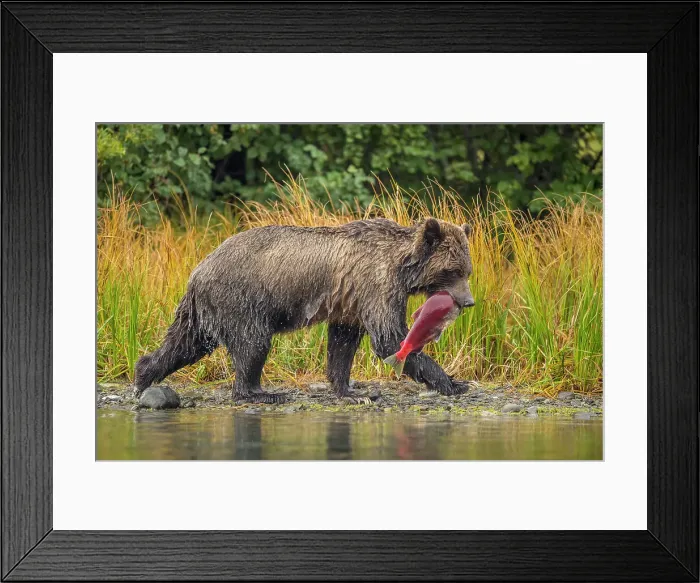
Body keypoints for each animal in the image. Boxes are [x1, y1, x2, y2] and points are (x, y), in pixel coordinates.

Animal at [133, 217, 475, 403]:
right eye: (454, 270)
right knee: (253, 344)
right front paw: (453, 382)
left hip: (204, 309)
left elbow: (342, 344)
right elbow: (389, 337)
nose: (469, 301)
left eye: (468, 271)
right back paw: (260, 392)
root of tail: (197, 270)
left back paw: (142, 376)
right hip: (242, 299)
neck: (401, 267)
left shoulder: (348, 302)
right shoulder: (376, 284)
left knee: (185, 343)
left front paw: (351, 390)